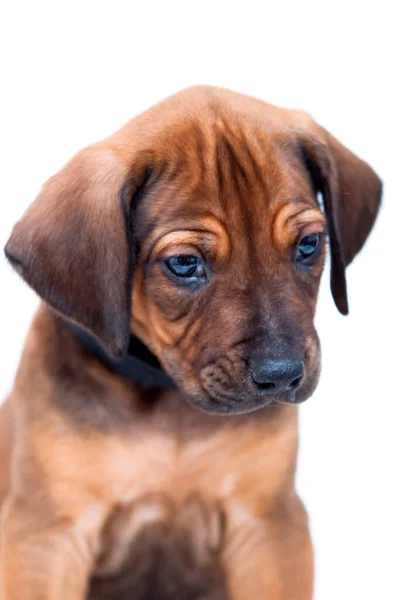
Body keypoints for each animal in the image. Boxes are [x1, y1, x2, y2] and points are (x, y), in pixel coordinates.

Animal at [0, 85, 382, 600]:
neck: (169, 400)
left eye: (309, 244)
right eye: (184, 264)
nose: (282, 375)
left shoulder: (267, 524)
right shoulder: (47, 534)